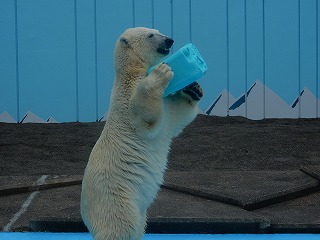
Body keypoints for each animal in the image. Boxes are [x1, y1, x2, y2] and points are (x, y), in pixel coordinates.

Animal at [80, 27, 202, 239]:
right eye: (151, 35)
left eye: (158, 30)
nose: (169, 40)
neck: (133, 72)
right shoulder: (126, 100)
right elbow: (142, 115)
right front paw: (161, 72)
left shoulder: (166, 109)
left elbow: (177, 116)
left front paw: (193, 88)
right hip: (116, 196)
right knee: (121, 227)